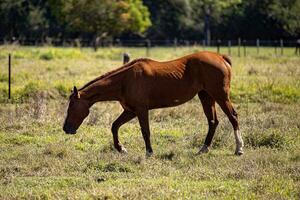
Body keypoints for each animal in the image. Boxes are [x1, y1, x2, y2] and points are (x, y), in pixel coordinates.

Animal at [62, 50, 244, 155]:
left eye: (72, 106)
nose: (66, 129)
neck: (125, 81)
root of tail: (221, 57)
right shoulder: (130, 111)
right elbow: (114, 126)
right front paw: (121, 148)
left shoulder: (141, 110)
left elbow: (145, 131)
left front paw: (149, 152)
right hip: (206, 96)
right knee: (213, 121)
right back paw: (203, 149)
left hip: (220, 96)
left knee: (233, 117)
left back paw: (239, 148)